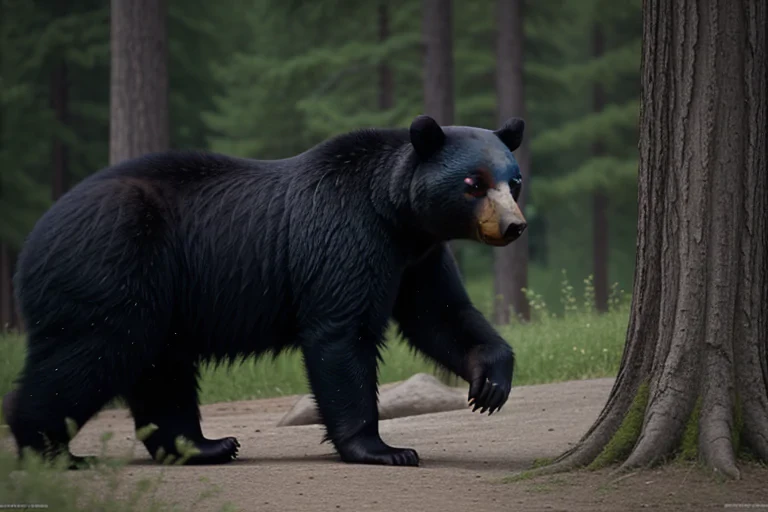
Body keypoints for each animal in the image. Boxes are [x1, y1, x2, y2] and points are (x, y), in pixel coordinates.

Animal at [3, 114, 527, 469]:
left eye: (514, 181)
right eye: (473, 182)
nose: (514, 226)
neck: (394, 215)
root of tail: (32, 241)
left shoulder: (418, 257)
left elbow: (441, 315)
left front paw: (489, 384)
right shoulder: (347, 236)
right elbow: (343, 332)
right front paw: (384, 448)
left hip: (158, 292)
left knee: (160, 367)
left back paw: (205, 445)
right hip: (112, 263)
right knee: (91, 352)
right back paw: (52, 449)